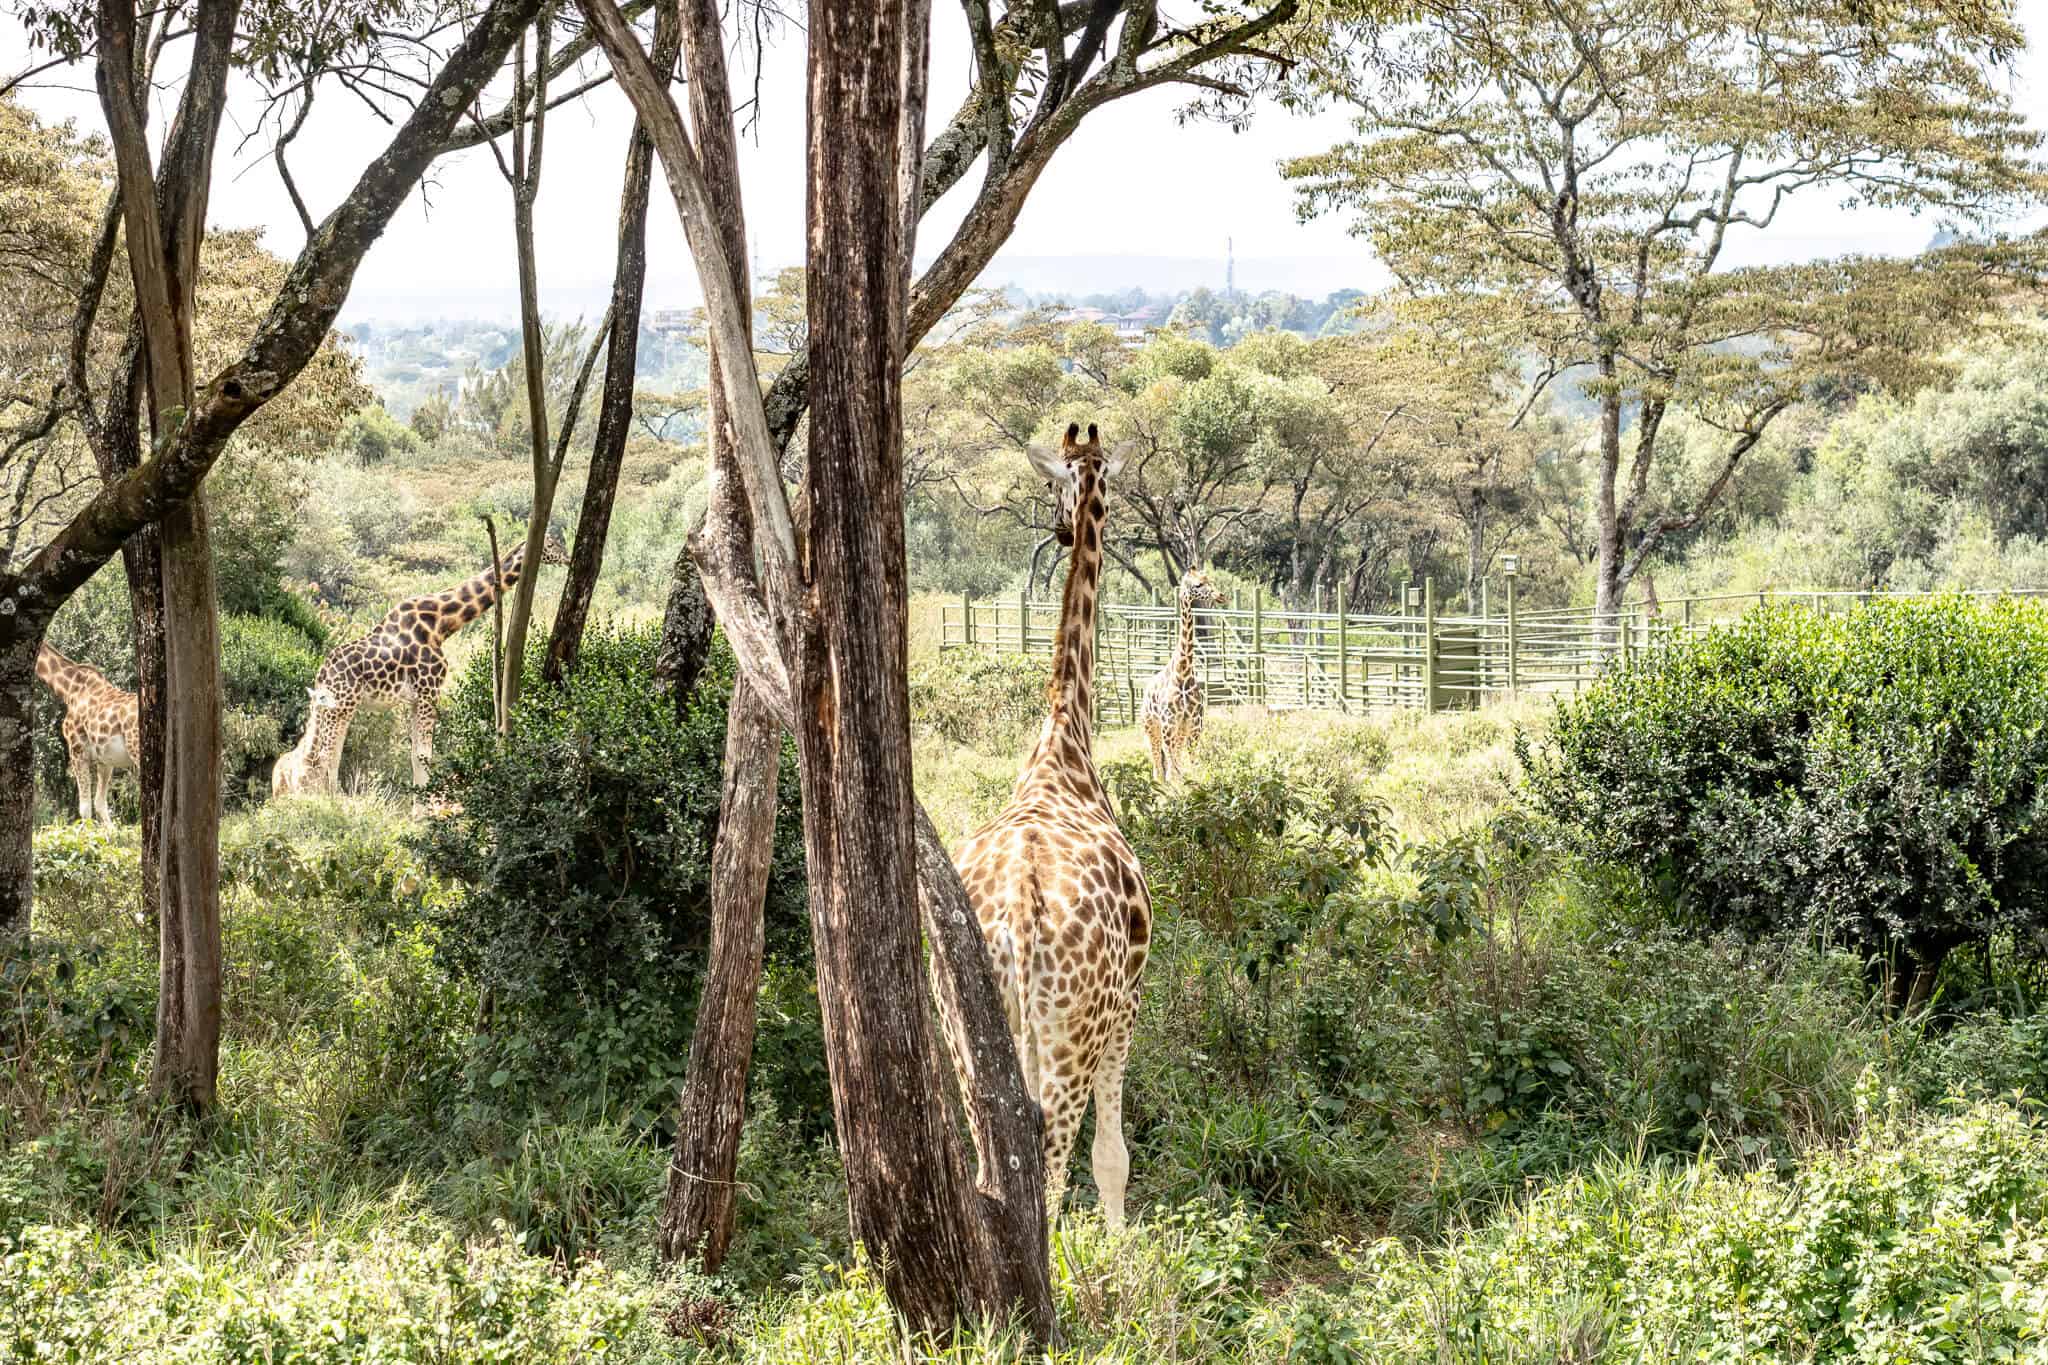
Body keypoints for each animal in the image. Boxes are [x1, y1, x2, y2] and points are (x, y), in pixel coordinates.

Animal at [33, 644, 141, 825]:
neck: (69, 689)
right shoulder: (105, 760)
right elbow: (99, 803)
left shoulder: (77, 750)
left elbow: (84, 809)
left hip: (137, 750)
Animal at [273, 528, 570, 796]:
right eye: (553, 544)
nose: (567, 559)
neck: (441, 623)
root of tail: (322, 673)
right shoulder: (430, 691)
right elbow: (424, 756)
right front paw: (422, 813)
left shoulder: (416, 699)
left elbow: (415, 755)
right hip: (342, 705)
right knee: (327, 755)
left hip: (336, 707)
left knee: (323, 753)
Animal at [946, 421, 1152, 1229]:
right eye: (1060, 485)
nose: (1066, 528)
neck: (1064, 739)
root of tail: (1019, 921)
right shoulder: (1128, 1006)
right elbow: (1112, 1158)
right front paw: (1122, 1247)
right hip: (1071, 1030)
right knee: (1054, 1167)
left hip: (972, 1033)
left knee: (993, 1164)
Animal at [1141, 568, 1225, 782]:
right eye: (1198, 585)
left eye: (1210, 580)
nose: (1220, 595)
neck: (1184, 673)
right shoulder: (1168, 724)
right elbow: (1172, 769)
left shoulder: (1195, 724)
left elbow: (1189, 764)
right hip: (1151, 727)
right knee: (1158, 767)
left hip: (1179, 729)